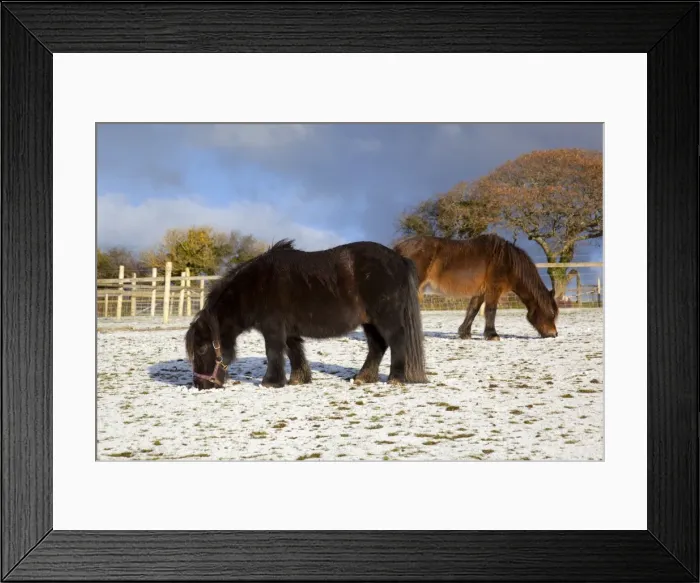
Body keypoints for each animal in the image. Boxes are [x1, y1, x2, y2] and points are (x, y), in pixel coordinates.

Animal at [185, 239, 428, 390]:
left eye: (202, 348)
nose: (200, 385)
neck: (255, 286)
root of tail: (399, 259)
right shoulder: (289, 330)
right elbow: (294, 352)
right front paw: (298, 379)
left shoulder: (273, 328)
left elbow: (274, 352)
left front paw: (271, 382)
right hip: (370, 322)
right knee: (377, 347)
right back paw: (363, 378)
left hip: (386, 318)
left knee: (396, 342)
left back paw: (395, 378)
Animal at [393, 234, 559, 340]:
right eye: (551, 314)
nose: (554, 334)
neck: (508, 261)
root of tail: (398, 247)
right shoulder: (493, 289)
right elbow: (490, 310)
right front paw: (492, 335)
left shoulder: (480, 292)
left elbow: (473, 309)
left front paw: (464, 333)